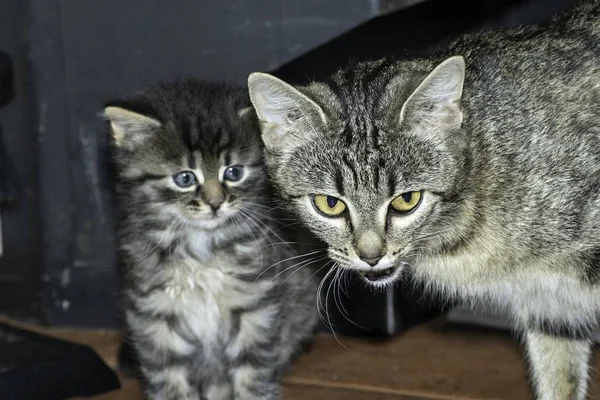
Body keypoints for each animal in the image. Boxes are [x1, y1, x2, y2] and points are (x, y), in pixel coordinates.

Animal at [102, 79, 318, 400]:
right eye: (185, 178)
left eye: (234, 172)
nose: (215, 204)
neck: (200, 248)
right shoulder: (155, 314)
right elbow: (169, 379)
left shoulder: (255, 306)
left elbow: (253, 373)